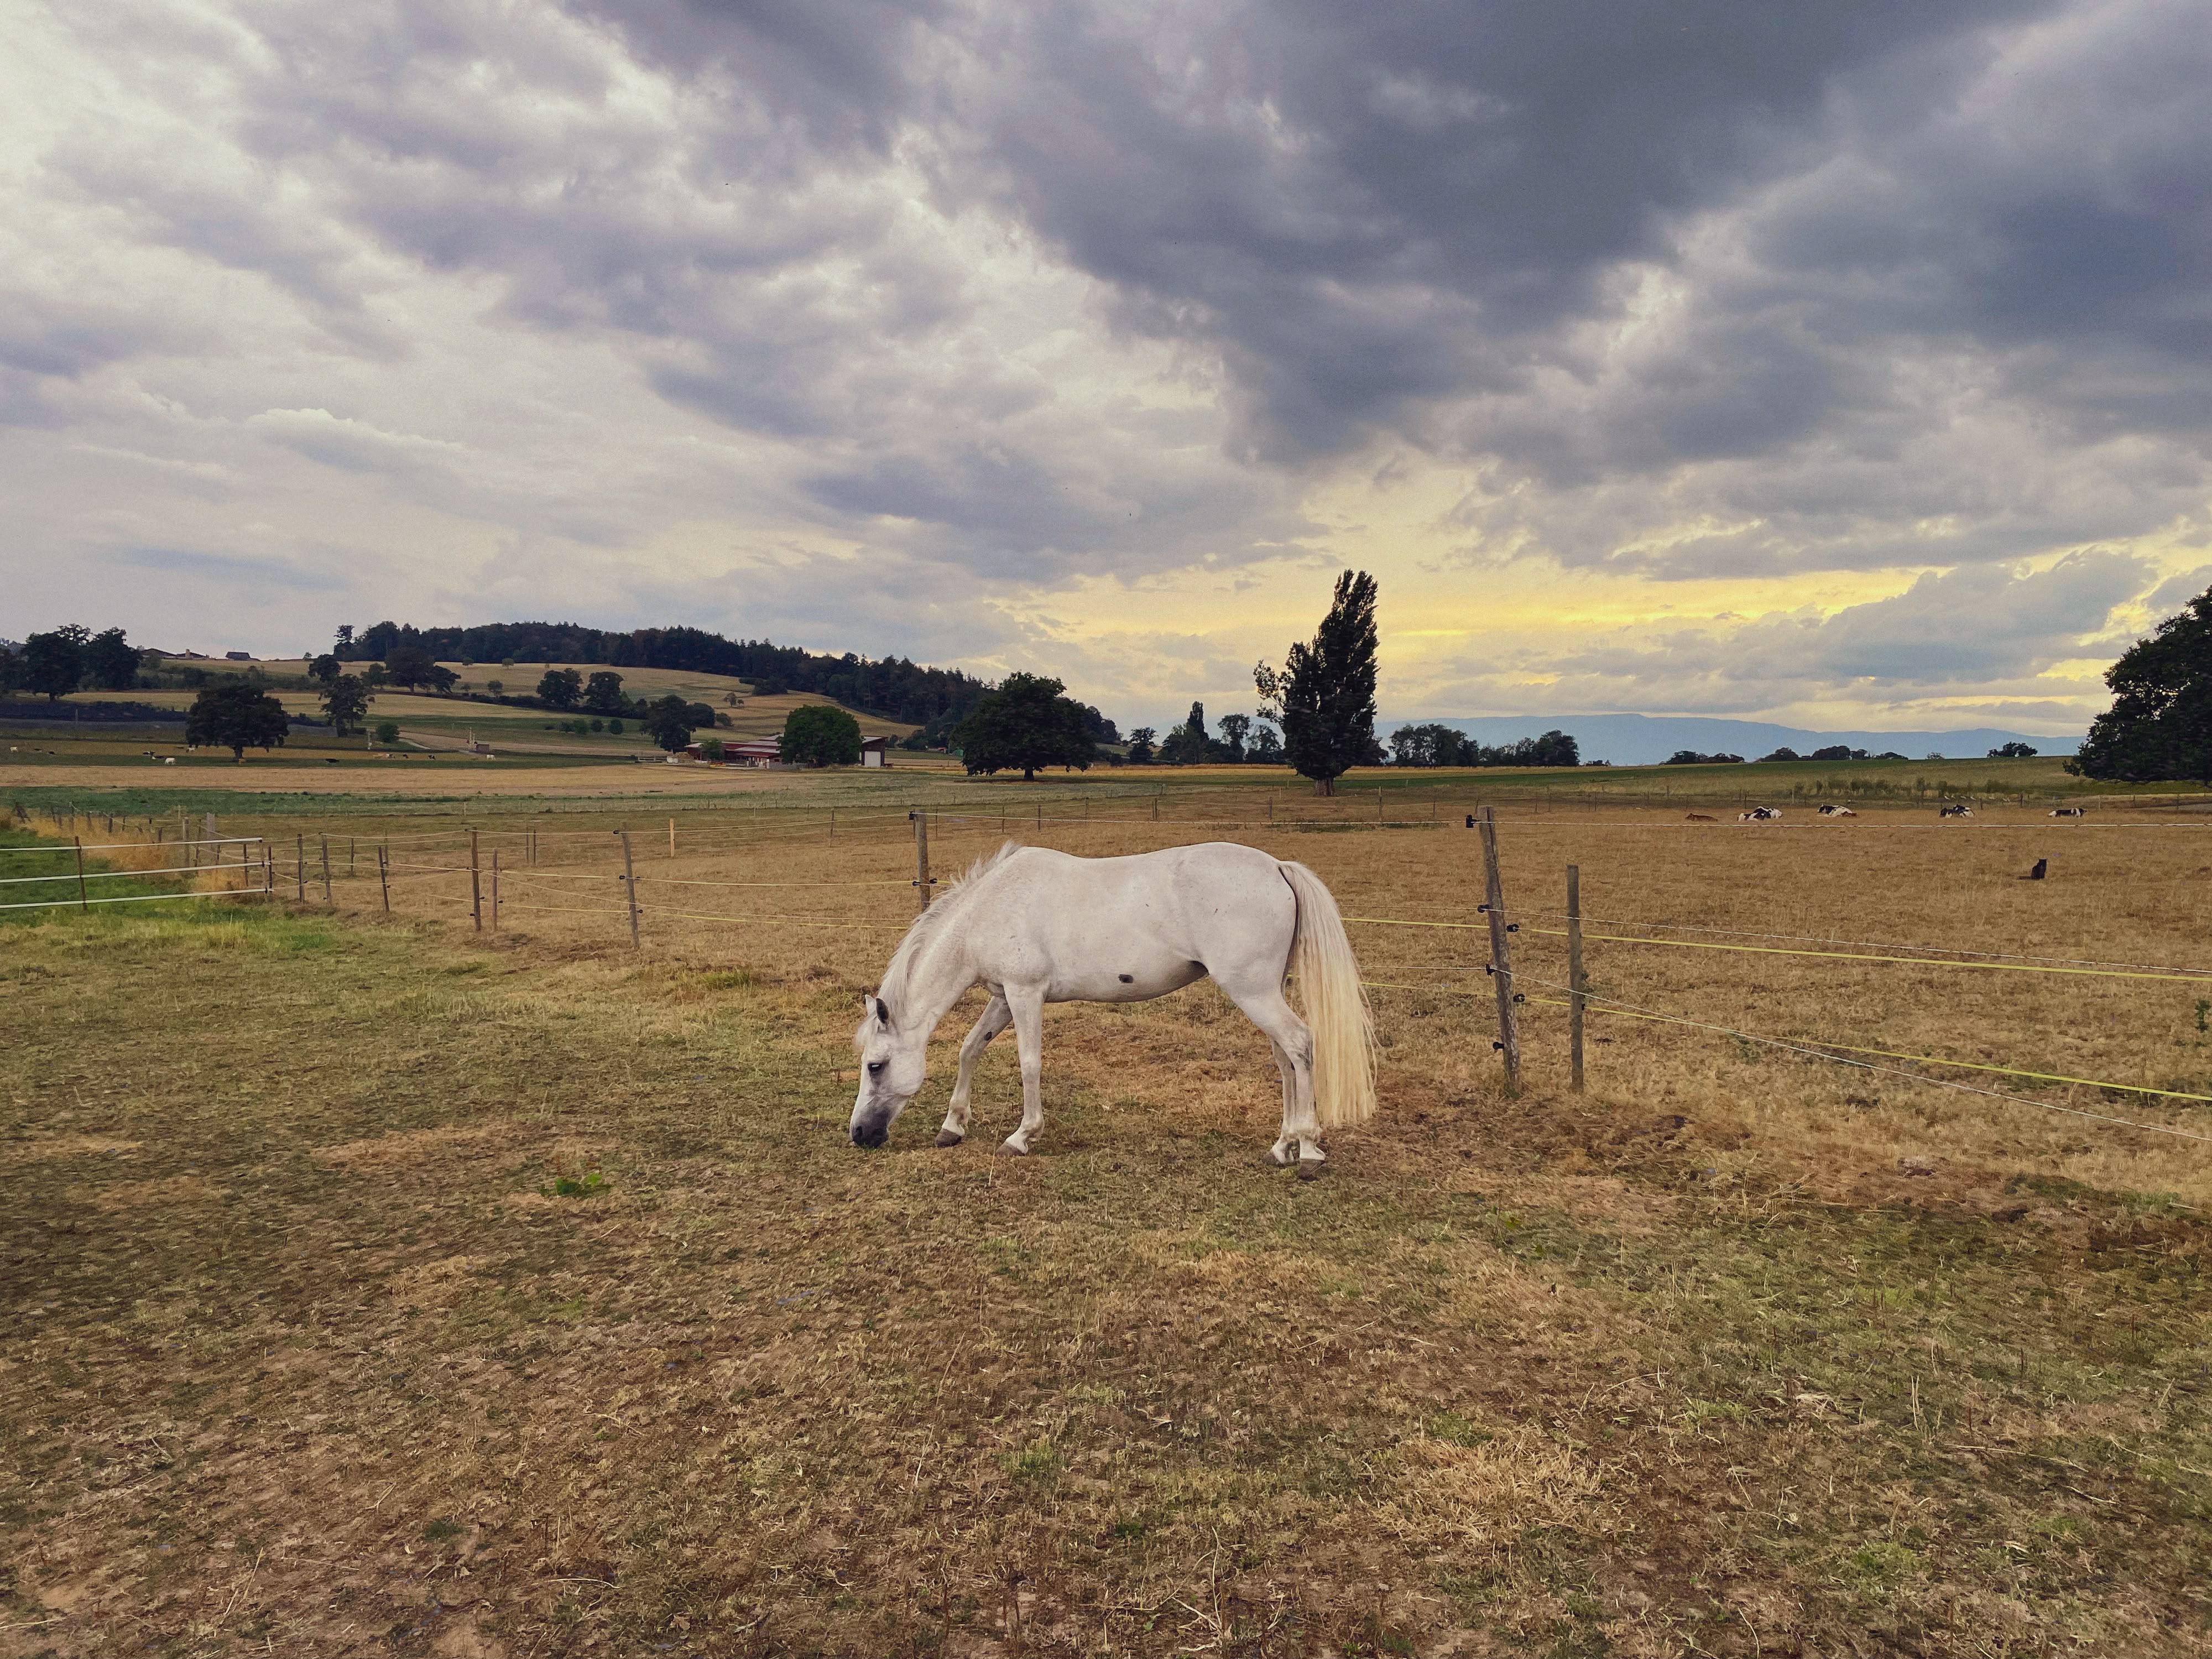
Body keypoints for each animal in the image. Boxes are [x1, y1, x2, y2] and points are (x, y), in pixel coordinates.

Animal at [848, 842, 1375, 1170]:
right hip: (1266, 993)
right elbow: (969, 1049)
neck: (990, 907)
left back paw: (1308, 1149)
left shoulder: (1025, 994)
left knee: (1301, 1045)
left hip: (1254, 992)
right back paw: (1282, 1147)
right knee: (1286, 1059)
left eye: (875, 1066)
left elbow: (1029, 1064)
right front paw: (952, 1126)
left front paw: (1022, 1136)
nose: (859, 1134)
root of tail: (1277, 867)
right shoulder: (1003, 998)